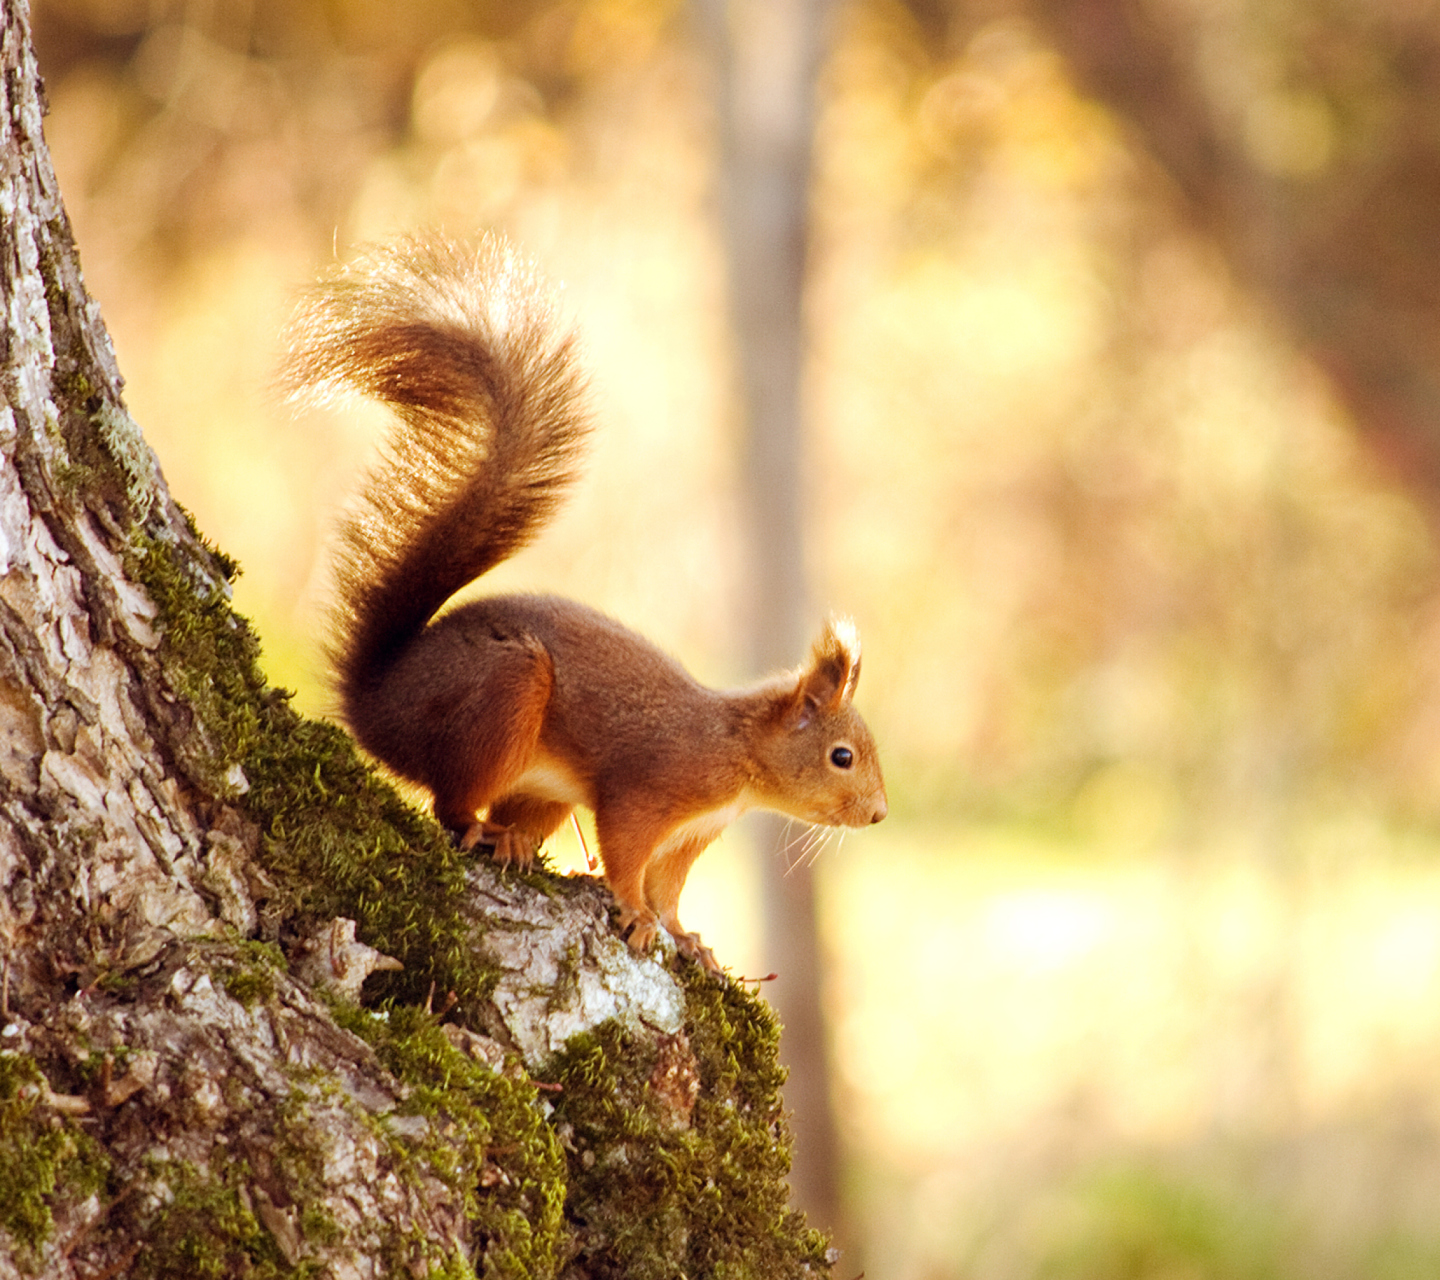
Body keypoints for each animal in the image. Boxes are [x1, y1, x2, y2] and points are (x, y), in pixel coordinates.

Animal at [282, 231, 887, 967]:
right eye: (841, 756)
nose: (879, 814)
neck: (739, 756)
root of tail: (373, 702)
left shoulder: (693, 833)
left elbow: (670, 885)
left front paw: (687, 937)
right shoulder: (651, 790)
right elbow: (627, 854)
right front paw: (636, 915)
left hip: (541, 783)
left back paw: (514, 837)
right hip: (503, 697)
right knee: (450, 806)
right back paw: (485, 831)